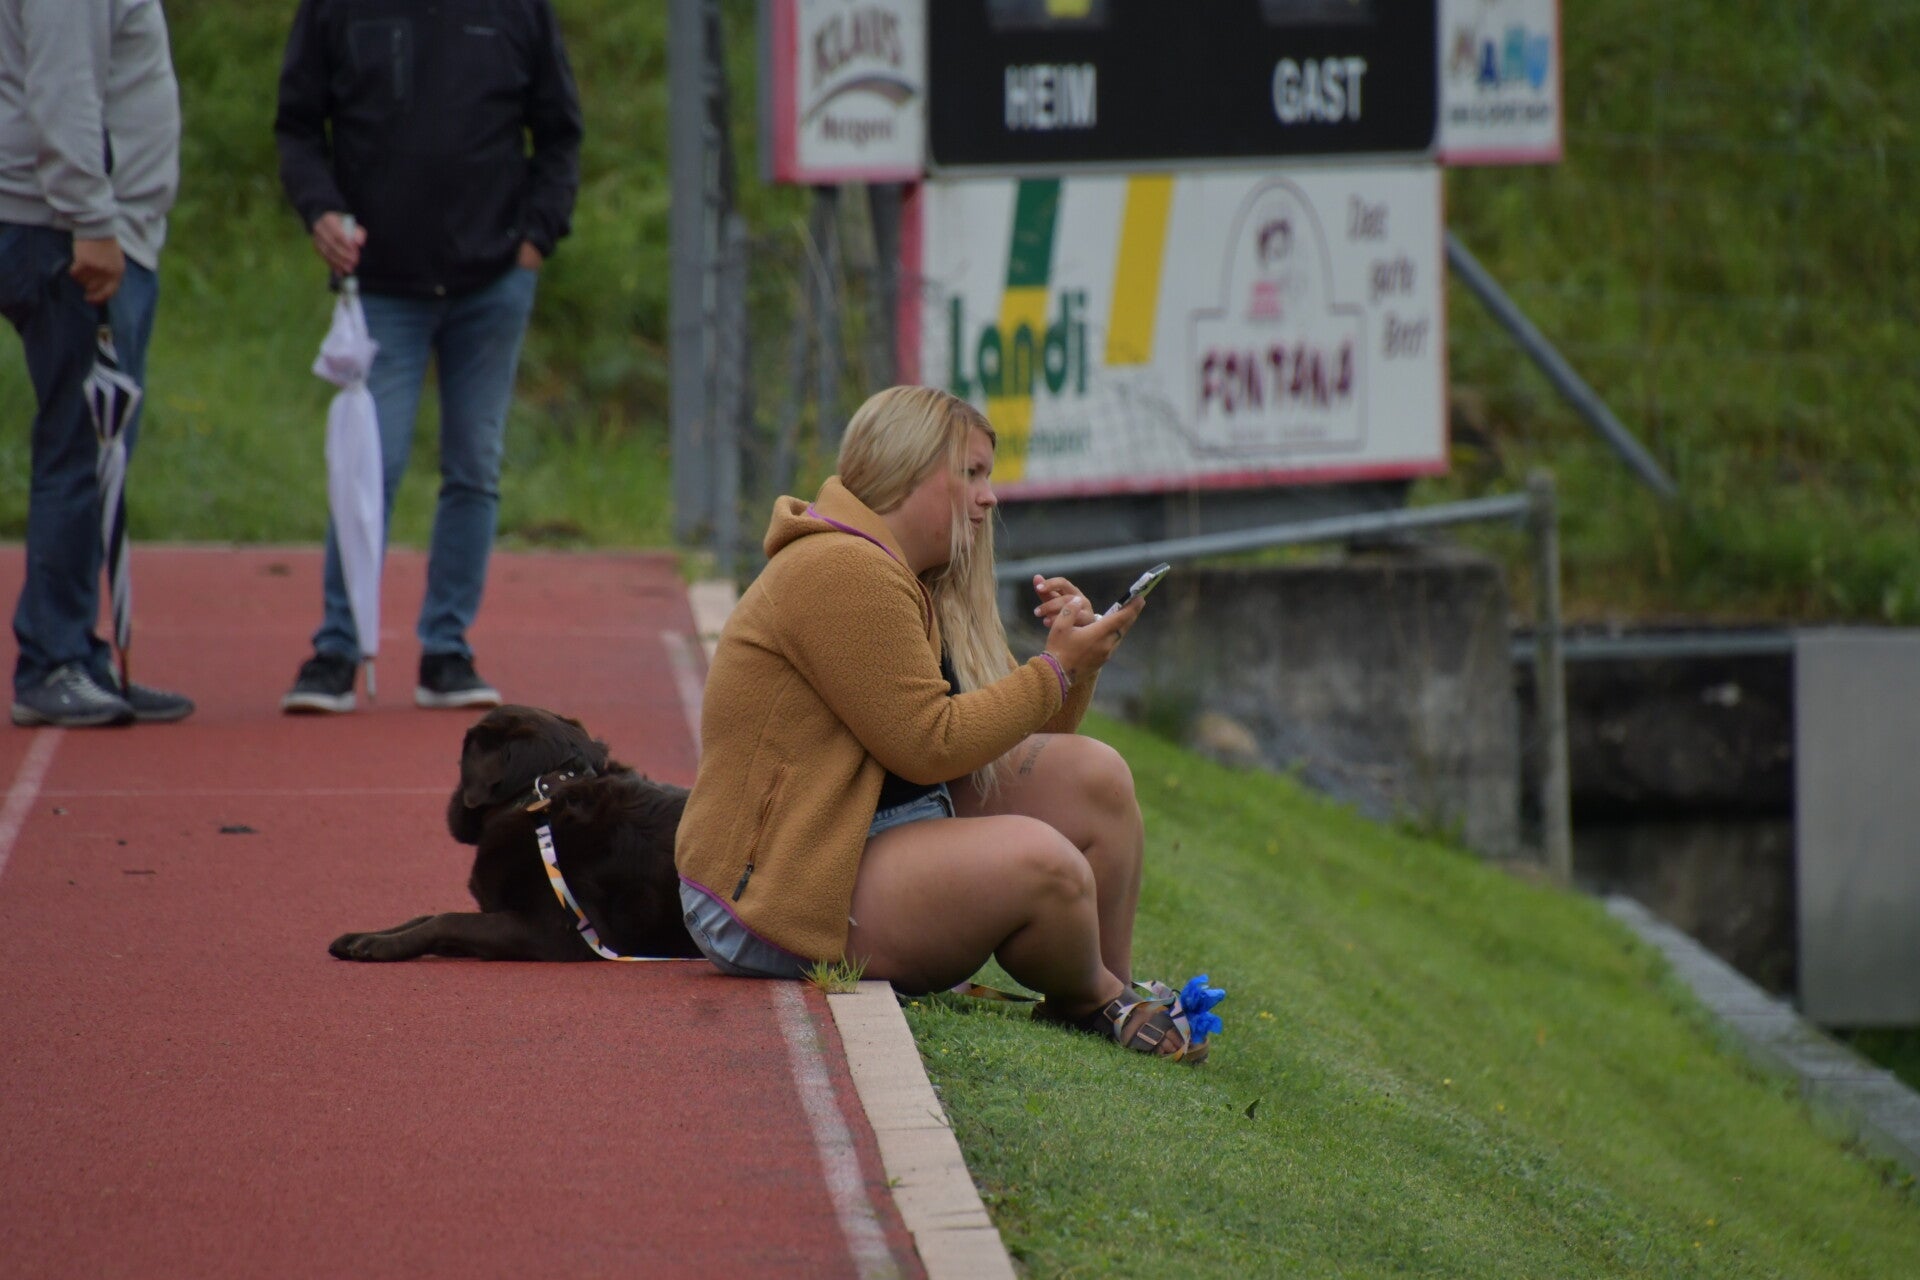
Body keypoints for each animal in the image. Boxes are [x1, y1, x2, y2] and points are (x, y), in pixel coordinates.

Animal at [329, 705, 702, 962]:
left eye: (460, 762)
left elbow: (449, 920)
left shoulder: (556, 932)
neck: (540, 798)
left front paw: (383, 945)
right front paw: (366, 937)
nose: (451, 803)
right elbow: (429, 915)